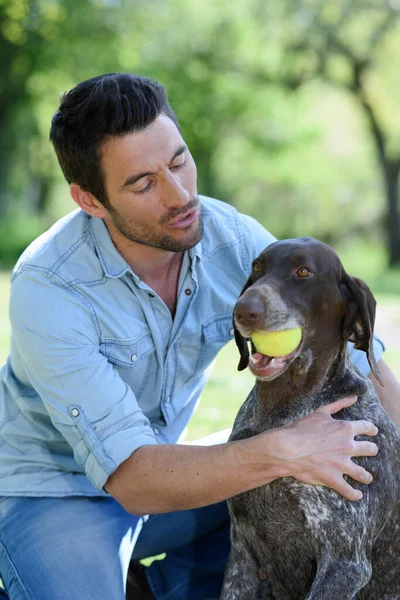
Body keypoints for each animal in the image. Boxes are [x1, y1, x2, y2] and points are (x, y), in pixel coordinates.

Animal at [220, 237, 398, 600]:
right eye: (257, 267)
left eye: (303, 271)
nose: (243, 310)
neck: (282, 413)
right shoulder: (241, 553)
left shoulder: (344, 563)